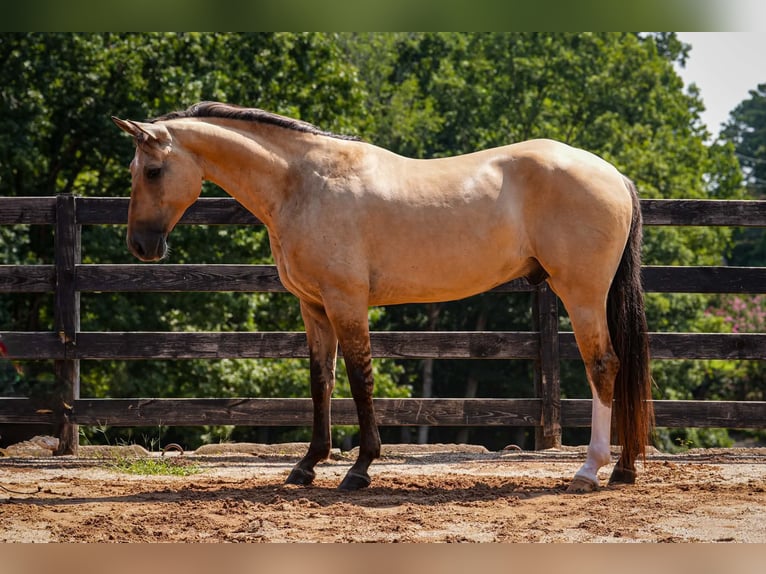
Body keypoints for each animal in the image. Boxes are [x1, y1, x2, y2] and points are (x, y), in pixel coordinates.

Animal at [112, 101, 654, 493]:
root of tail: (615, 176)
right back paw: (623, 469)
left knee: (603, 365)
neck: (303, 183)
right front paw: (307, 466)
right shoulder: (313, 307)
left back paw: (588, 471)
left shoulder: (346, 302)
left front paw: (360, 469)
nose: (140, 246)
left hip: (581, 294)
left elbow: (360, 379)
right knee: (618, 366)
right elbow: (321, 382)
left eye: (152, 171)